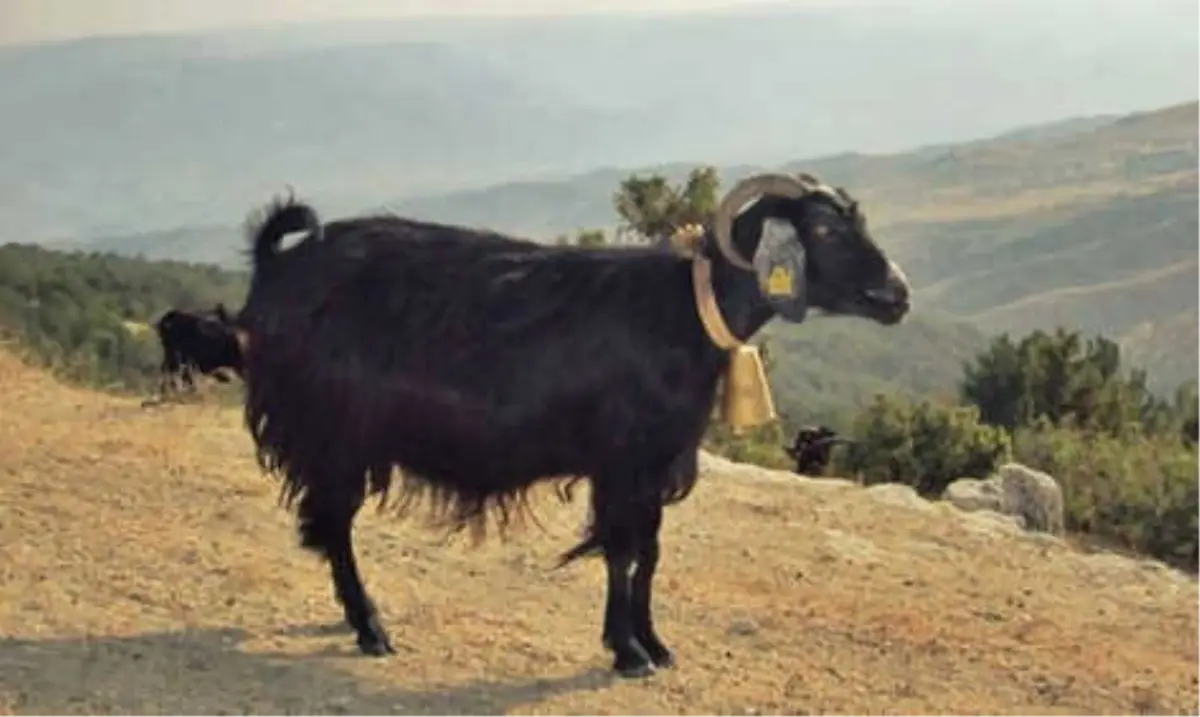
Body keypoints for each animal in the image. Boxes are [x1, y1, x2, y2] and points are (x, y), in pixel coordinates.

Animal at [231, 172, 907, 681]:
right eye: (824, 228)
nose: (897, 294)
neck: (684, 311)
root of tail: (279, 267)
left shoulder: (657, 464)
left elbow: (649, 552)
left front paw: (654, 643)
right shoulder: (621, 460)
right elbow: (621, 551)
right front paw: (629, 653)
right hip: (333, 433)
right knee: (334, 525)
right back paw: (370, 627)